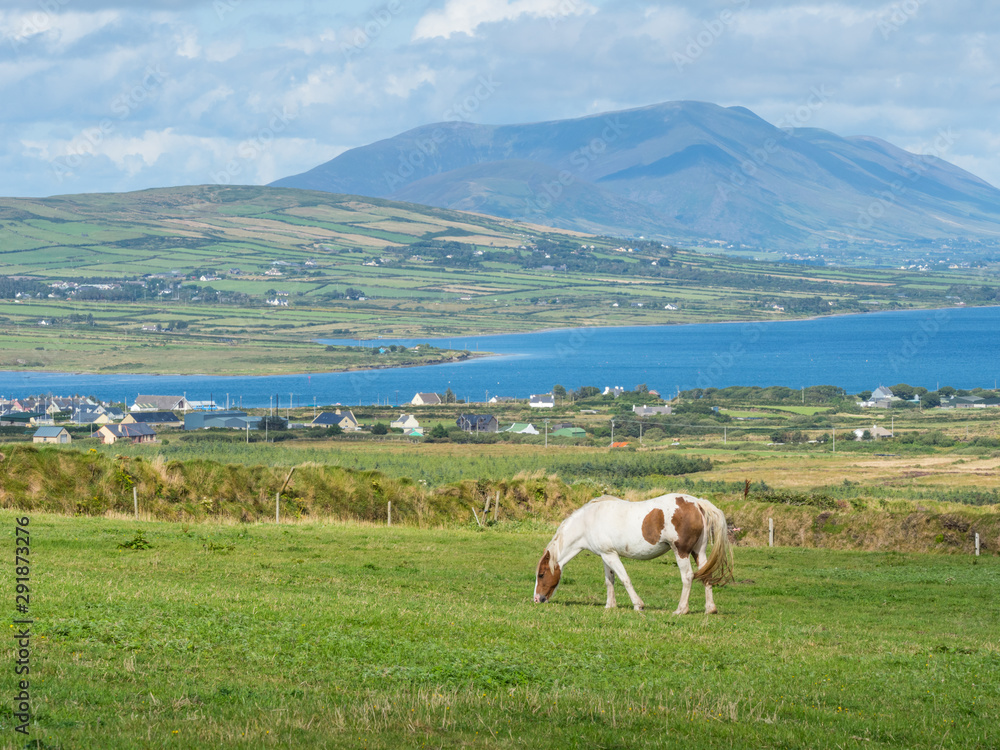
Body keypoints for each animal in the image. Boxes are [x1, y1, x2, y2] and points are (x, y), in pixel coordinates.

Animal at [533, 493, 734, 613]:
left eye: (541, 574)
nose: (537, 599)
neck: (587, 521)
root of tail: (697, 503)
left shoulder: (611, 555)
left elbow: (625, 579)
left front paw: (638, 604)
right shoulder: (606, 555)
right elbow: (610, 581)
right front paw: (610, 605)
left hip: (682, 551)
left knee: (688, 576)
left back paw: (681, 609)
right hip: (698, 551)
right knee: (706, 575)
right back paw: (710, 609)